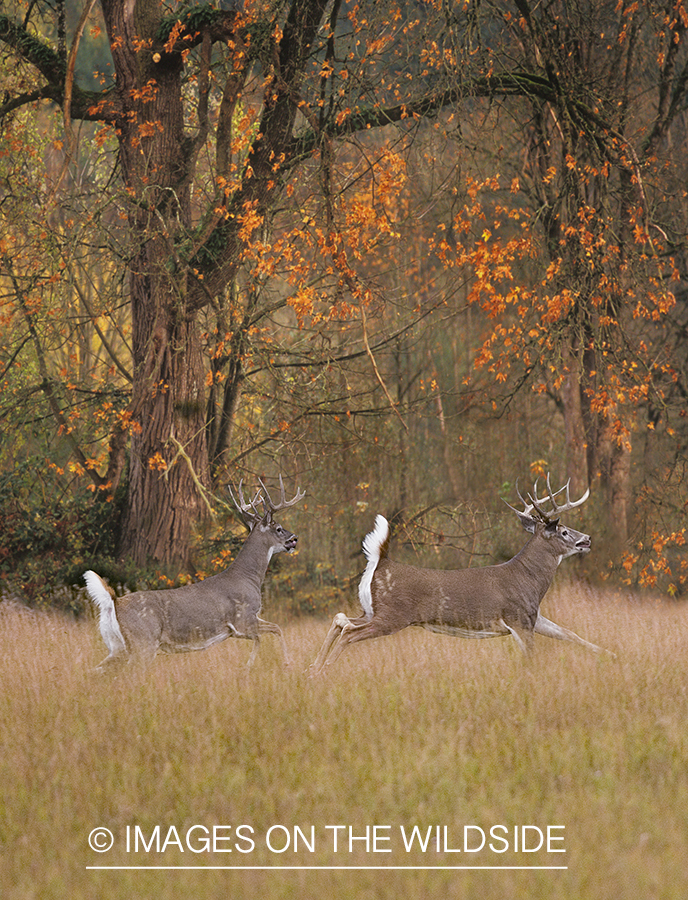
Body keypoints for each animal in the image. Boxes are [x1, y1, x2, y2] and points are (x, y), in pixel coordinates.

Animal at [84, 478, 304, 668]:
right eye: (278, 528)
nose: (294, 538)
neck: (249, 578)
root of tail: (113, 603)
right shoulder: (243, 619)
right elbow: (265, 636)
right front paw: (261, 666)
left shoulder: (248, 622)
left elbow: (275, 630)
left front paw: (278, 663)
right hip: (143, 643)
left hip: (118, 648)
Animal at [310, 474, 612, 672]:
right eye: (564, 531)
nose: (586, 539)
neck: (529, 580)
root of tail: (380, 561)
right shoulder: (517, 619)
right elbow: (532, 658)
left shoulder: (532, 617)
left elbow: (571, 635)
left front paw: (611, 655)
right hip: (392, 616)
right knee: (349, 631)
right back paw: (324, 670)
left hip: (371, 610)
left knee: (340, 619)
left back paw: (312, 668)